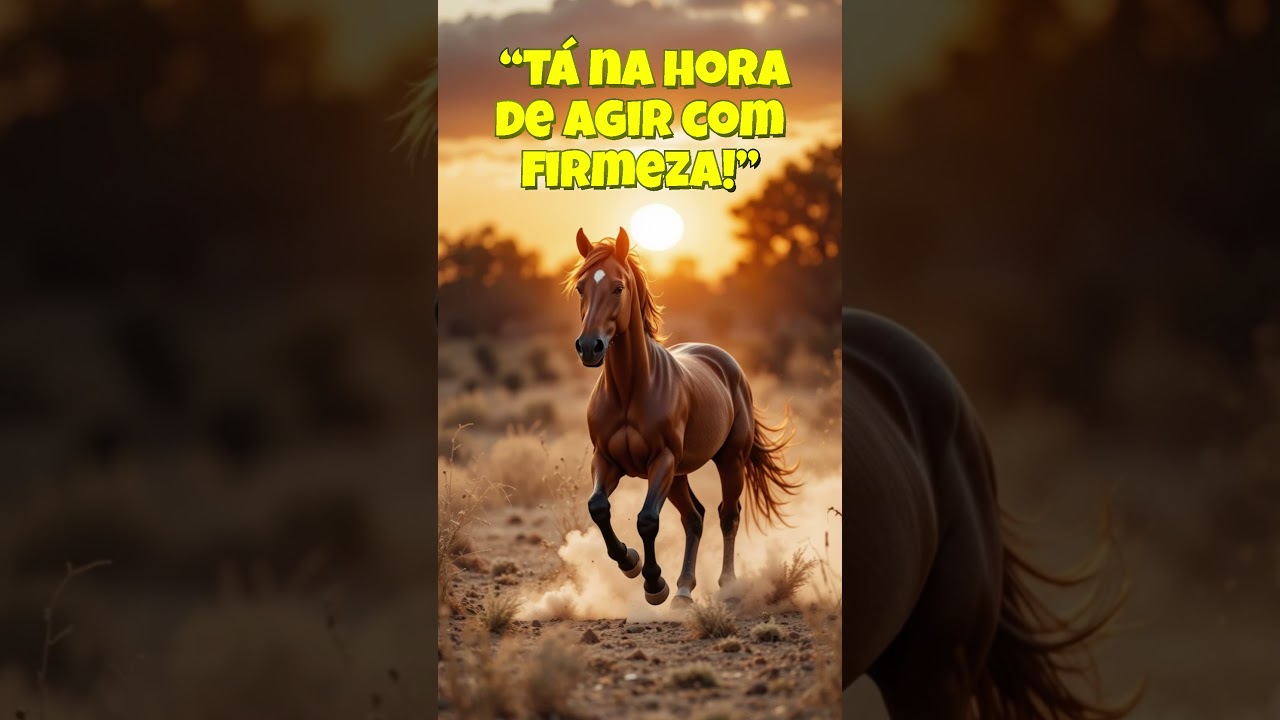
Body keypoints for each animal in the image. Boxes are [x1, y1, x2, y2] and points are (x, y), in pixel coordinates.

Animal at [565, 227, 800, 606]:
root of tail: (725, 362)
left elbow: (647, 520)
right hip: (678, 475)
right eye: (581, 287)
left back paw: (726, 584)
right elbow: (598, 507)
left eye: (618, 287)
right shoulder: (606, 460)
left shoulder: (661, 459)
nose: (589, 347)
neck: (630, 390)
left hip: (728, 460)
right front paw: (630, 562)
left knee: (727, 515)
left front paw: (653, 584)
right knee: (695, 517)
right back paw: (684, 590)